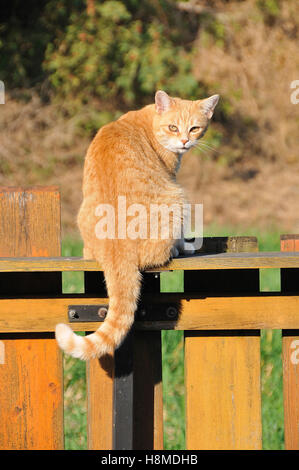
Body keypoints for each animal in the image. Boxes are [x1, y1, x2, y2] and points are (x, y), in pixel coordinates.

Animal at [55, 91, 219, 360]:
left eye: (194, 128)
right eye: (173, 127)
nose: (184, 141)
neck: (148, 120)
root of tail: (117, 247)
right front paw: (185, 244)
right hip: (178, 197)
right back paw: (178, 249)